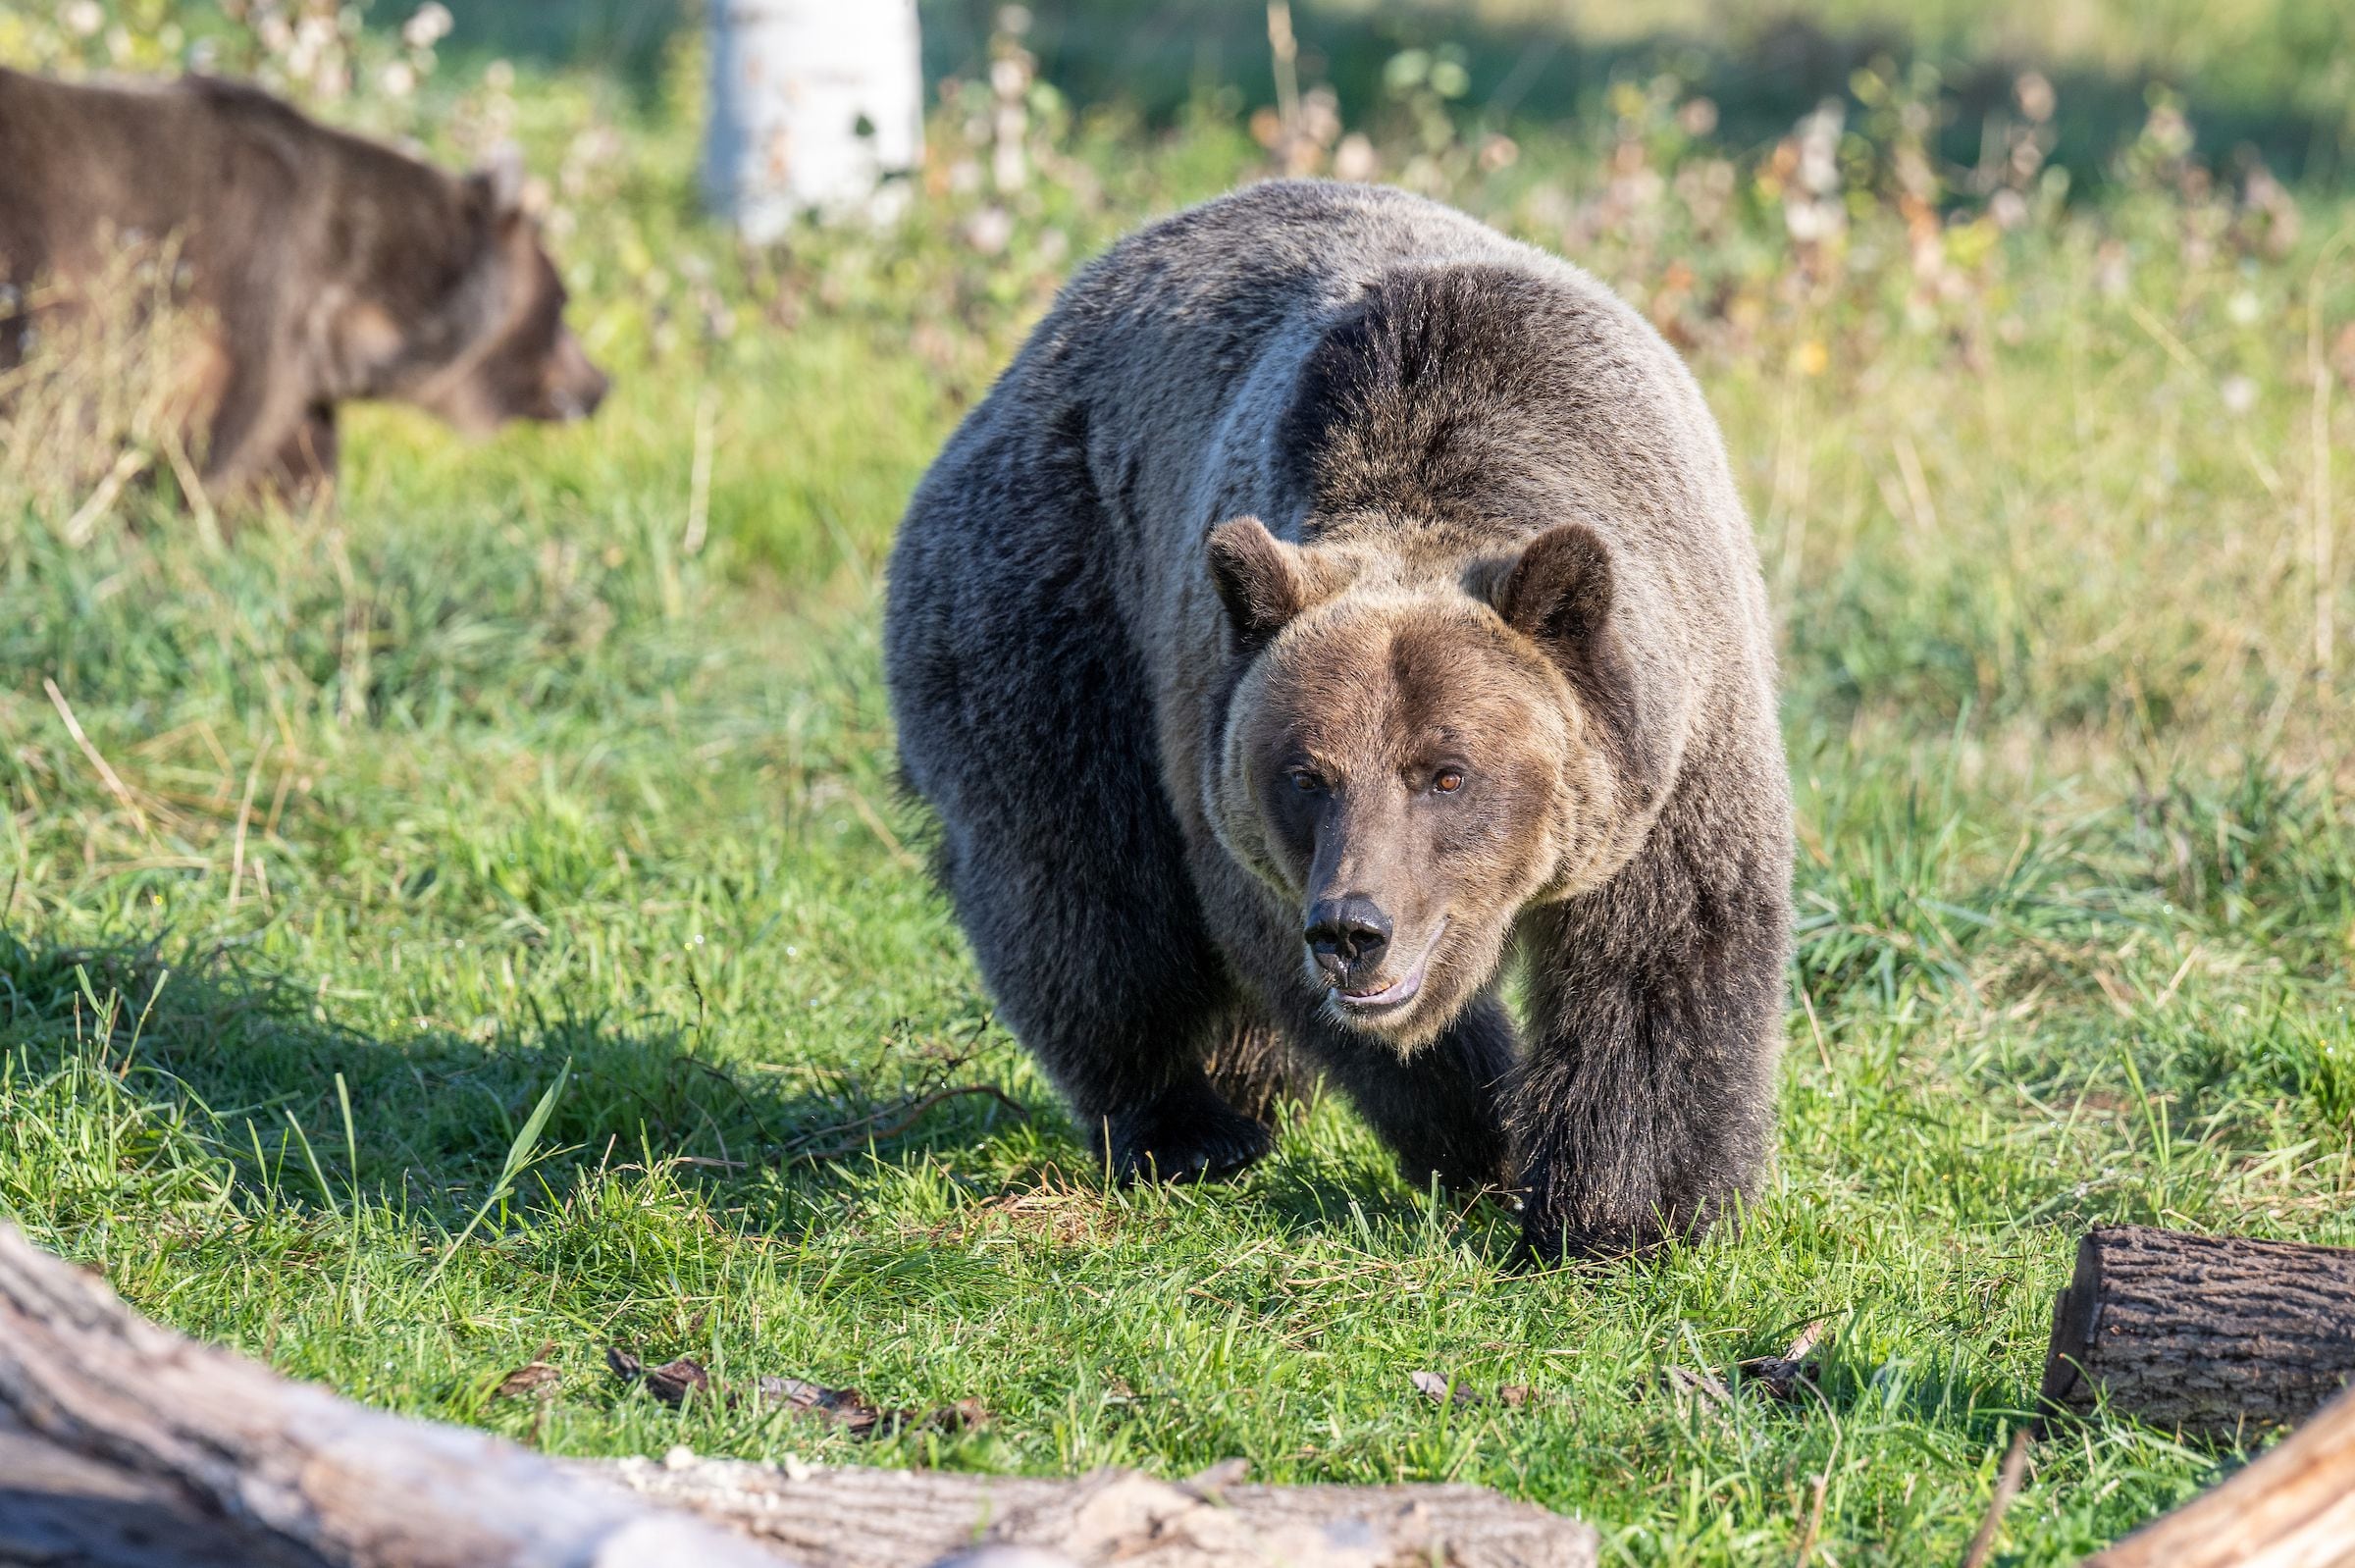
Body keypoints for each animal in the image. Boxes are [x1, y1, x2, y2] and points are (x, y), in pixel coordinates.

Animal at [2, 68, 607, 501]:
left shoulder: (295, 377)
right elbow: (188, 456)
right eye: (562, 304)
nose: (601, 384)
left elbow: (294, 471)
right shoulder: (240, 293)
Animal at [890, 180, 1790, 1262]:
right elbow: (1277, 950)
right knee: (1080, 888)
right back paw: (1190, 1124)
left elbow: (1662, 957)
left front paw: (1620, 1213)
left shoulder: (1677, 737)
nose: (1353, 930)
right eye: (1306, 774)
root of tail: (1030, 354)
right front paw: (1482, 1136)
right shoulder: (1224, 758)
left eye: (1448, 771)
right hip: (1054, 608)